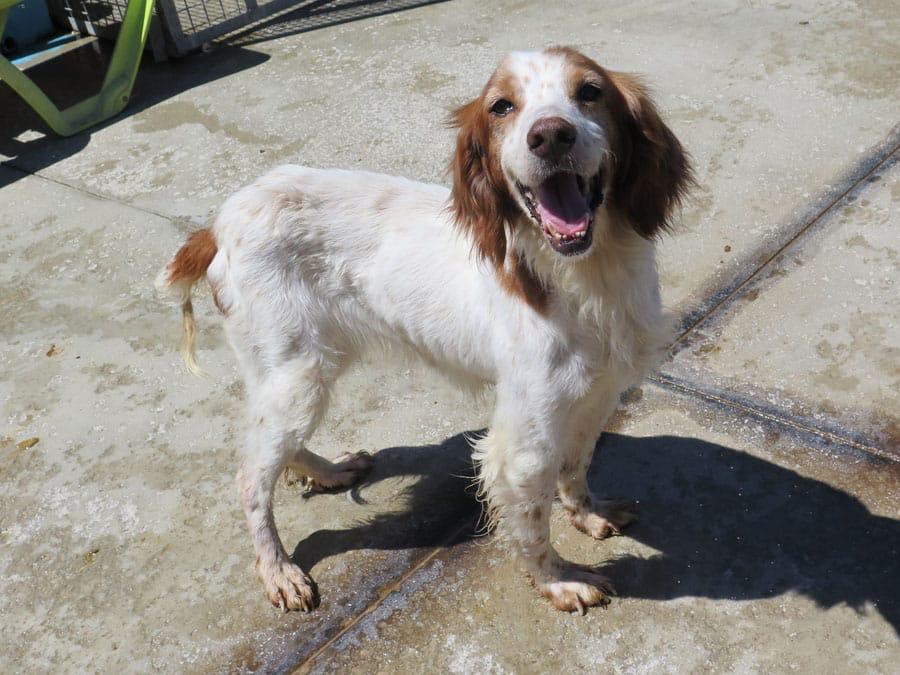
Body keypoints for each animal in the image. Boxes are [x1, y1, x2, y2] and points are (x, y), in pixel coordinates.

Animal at [156, 46, 692, 614]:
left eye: (590, 91)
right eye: (502, 106)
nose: (550, 135)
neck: (584, 275)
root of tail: (219, 222)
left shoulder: (597, 393)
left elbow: (577, 464)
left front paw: (587, 515)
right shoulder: (524, 436)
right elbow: (532, 522)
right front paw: (557, 580)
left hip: (298, 372)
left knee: (278, 448)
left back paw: (327, 471)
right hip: (297, 373)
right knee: (252, 477)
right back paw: (277, 569)